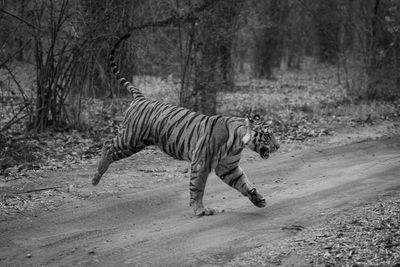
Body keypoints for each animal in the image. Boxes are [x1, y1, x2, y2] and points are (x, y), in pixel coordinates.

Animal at [91, 34, 280, 218]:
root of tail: (141, 98)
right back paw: (96, 177)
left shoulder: (228, 167)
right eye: (267, 134)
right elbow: (198, 188)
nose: (278, 146)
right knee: (107, 145)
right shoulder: (201, 163)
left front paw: (258, 199)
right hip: (131, 140)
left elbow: (243, 183)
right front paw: (200, 210)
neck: (238, 142)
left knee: (110, 147)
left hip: (135, 142)